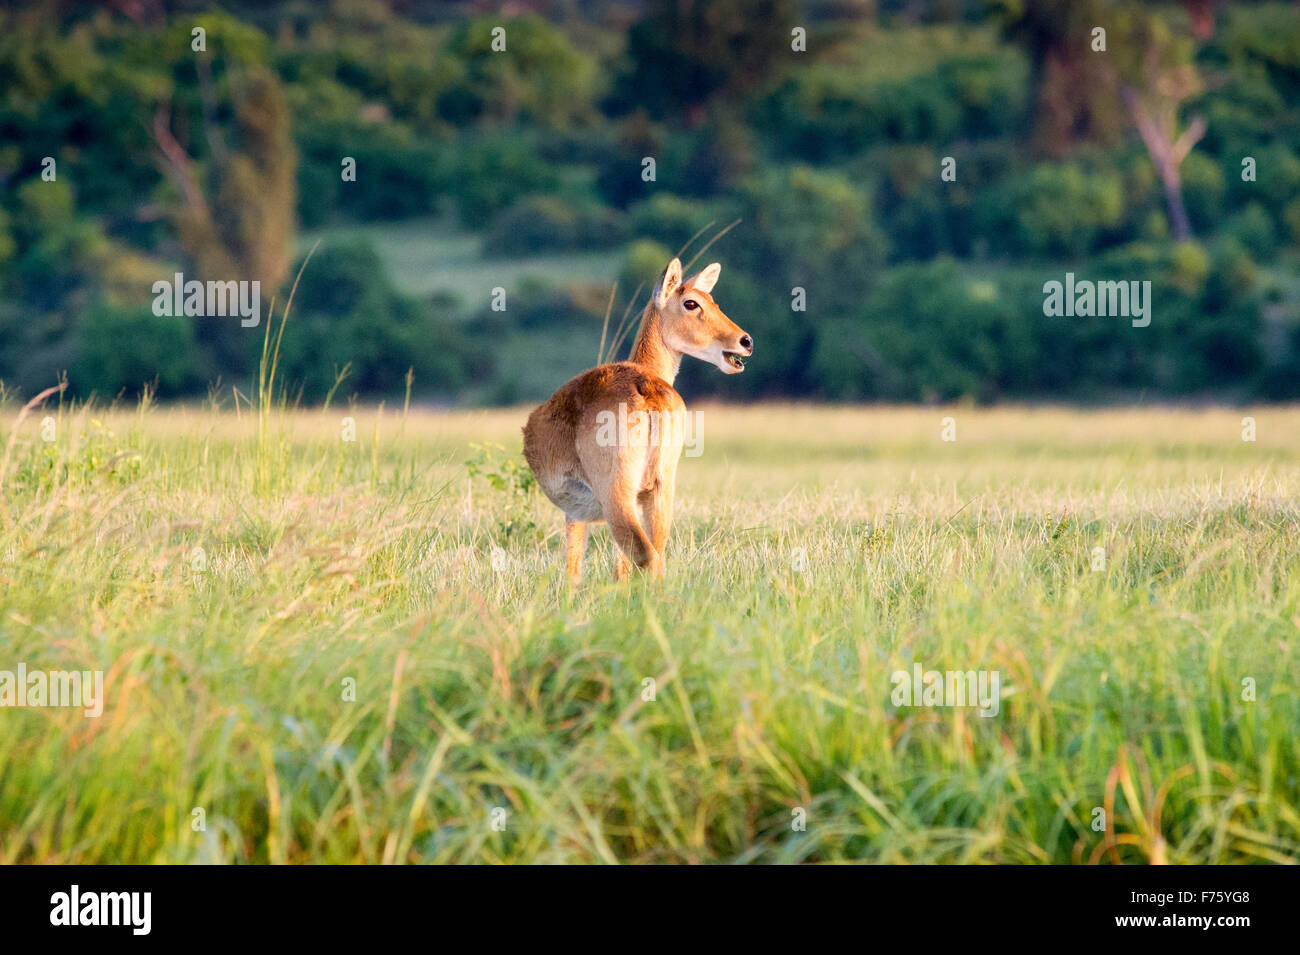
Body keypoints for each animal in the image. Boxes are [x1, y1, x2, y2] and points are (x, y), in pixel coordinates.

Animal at [525, 255, 759, 582]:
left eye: (710, 300)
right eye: (692, 302)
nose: (745, 341)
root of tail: (645, 391)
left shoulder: (574, 513)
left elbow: (573, 569)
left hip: (618, 497)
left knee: (643, 555)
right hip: (659, 490)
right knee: (656, 555)